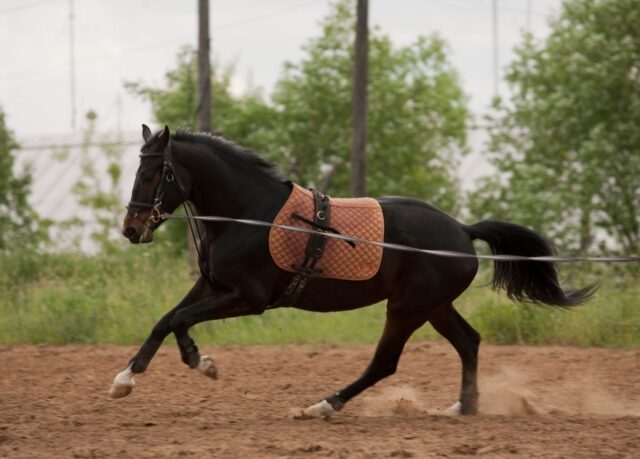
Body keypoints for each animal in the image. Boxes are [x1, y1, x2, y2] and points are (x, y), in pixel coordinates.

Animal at [111, 125, 596, 416]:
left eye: (153, 174)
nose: (132, 229)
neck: (248, 214)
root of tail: (462, 229)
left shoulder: (249, 298)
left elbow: (181, 319)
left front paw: (202, 362)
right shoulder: (212, 284)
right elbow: (165, 320)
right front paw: (124, 380)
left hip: (407, 308)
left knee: (385, 362)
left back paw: (324, 405)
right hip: (434, 306)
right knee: (468, 342)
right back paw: (463, 406)